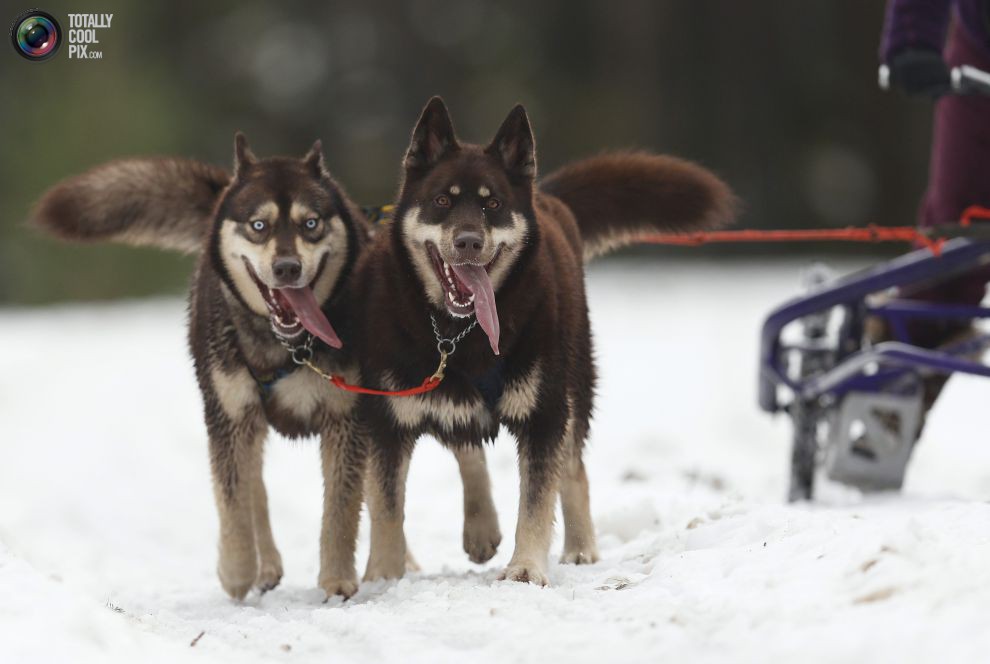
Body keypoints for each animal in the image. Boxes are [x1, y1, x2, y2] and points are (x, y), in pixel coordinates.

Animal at [33, 134, 504, 596]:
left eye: (310, 223)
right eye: (258, 226)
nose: (287, 267)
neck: (288, 347)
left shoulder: (347, 417)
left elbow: (341, 509)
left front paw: (337, 579)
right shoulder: (230, 414)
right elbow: (234, 501)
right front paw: (237, 570)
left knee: (458, 448)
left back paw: (477, 529)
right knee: (256, 487)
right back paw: (267, 565)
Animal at [350, 98, 736, 588]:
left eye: (493, 203)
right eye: (442, 200)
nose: (468, 241)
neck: (459, 335)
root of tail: (547, 197)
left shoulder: (544, 413)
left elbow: (537, 499)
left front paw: (525, 568)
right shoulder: (387, 418)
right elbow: (386, 508)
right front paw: (382, 577)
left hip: (575, 384)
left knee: (572, 470)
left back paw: (579, 548)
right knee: (467, 443)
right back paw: (480, 527)